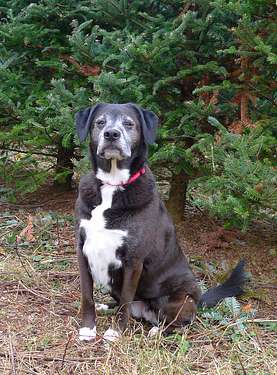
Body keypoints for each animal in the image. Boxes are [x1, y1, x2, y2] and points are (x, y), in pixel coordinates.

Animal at [73, 103, 244, 344]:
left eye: (129, 123)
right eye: (100, 122)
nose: (111, 134)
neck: (112, 185)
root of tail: (198, 300)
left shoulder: (133, 261)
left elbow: (125, 301)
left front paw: (116, 332)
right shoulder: (83, 250)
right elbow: (87, 295)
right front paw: (88, 328)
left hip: (179, 298)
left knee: (180, 323)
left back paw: (157, 331)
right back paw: (106, 306)